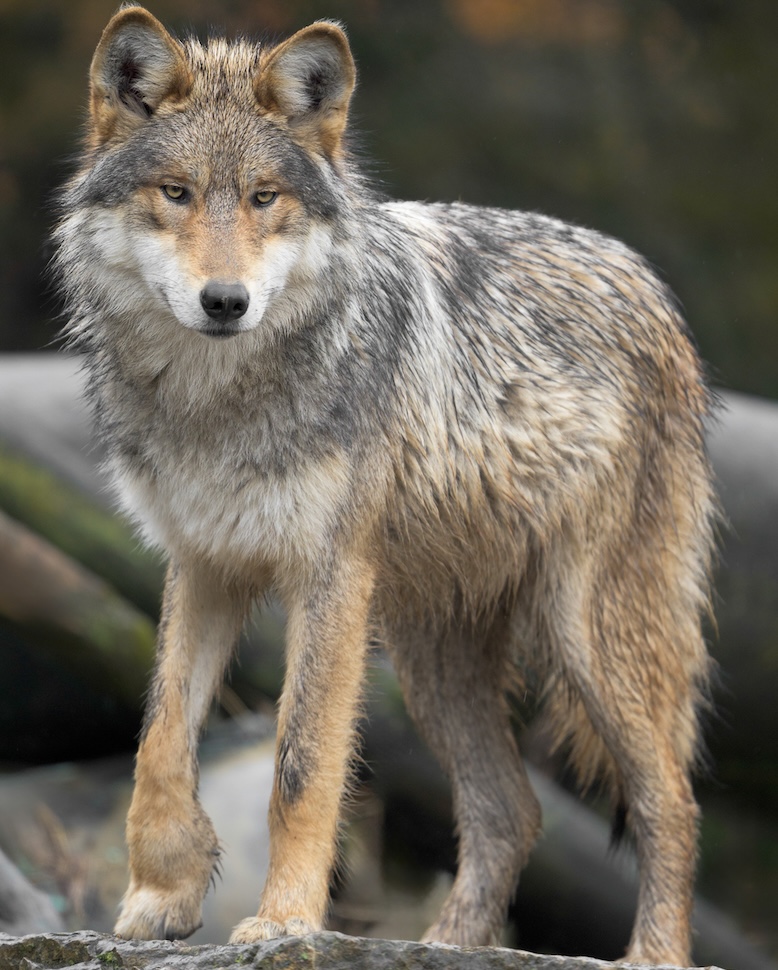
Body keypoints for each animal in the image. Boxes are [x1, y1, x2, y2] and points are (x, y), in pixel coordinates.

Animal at [54, 5, 717, 965]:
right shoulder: (204, 564)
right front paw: (162, 895)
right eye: (176, 193)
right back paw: (450, 943)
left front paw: (285, 920)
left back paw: (651, 957)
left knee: (670, 801)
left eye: (264, 198)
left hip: (591, 637)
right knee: (512, 810)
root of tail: (649, 281)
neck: (218, 403)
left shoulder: (327, 580)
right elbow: (160, 742)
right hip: (431, 658)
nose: (226, 302)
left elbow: (300, 764)